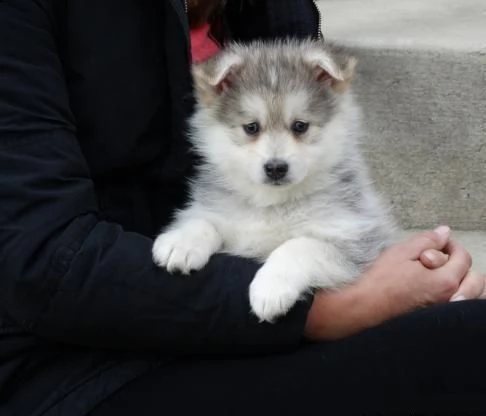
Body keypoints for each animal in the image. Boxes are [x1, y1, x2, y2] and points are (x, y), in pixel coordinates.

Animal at [152, 39, 394, 324]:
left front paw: (270, 288)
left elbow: (299, 246)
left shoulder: (356, 239)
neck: (273, 205)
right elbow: (204, 219)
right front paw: (181, 241)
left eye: (300, 126)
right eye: (251, 127)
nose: (276, 168)